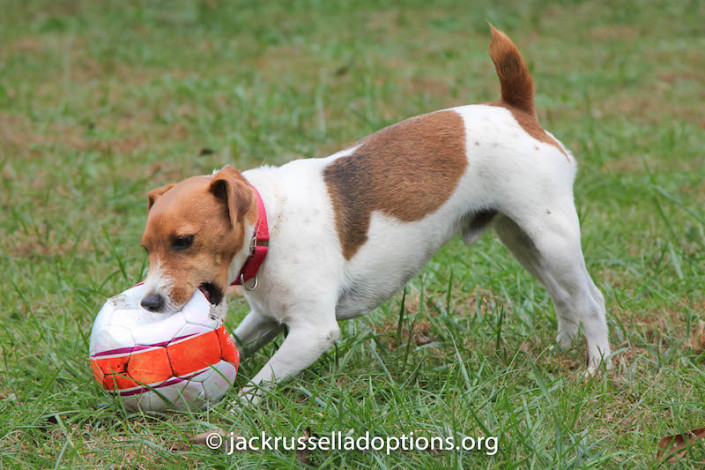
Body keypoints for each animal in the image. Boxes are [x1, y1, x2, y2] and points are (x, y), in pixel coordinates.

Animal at [139, 25, 612, 402]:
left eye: (184, 241)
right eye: (146, 248)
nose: (148, 302)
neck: (271, 223)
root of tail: (514, 109)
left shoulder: (314, 331)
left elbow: (259, 385)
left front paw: (228, 417)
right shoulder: (268, 318)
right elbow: (236, 347)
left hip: (553, 238)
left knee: (590, 299)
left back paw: (598, 367)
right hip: (521, 240)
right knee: (562, 295)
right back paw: (562, 347)